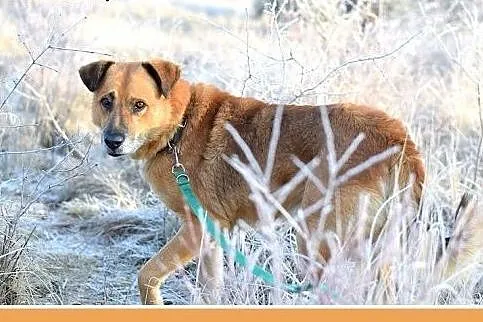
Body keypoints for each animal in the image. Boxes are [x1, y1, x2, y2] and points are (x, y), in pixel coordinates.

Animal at [78, 58, 432, 304]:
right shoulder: (211, 238)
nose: (112, 141)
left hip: (318, 243)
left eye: (139, 105)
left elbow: (147, 275)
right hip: (373, 248)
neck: (179, 125)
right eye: (106, 101)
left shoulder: (195, 230)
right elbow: (210, 290)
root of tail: (398, 139)